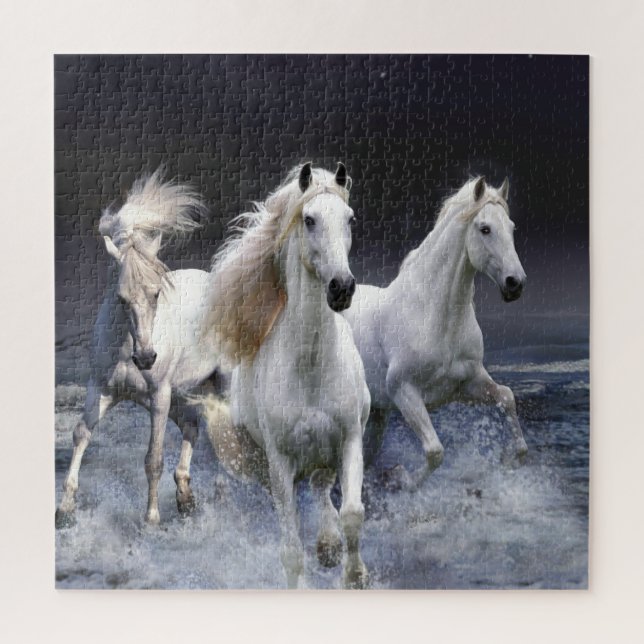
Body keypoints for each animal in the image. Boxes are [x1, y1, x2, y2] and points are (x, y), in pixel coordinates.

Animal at [56, 169, 221, 528]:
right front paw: (64, 509)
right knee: (192, 428)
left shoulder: (159, 397)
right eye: (121, 298)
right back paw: (185, 499)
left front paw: (151, 519)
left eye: (156, 293)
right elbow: (80, 434)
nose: (146, 358)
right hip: (182, 394)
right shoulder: (102, 389)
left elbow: (153, 458)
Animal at [202, 162, 371, 589]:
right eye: (308, 219)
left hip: (324, 454)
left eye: (350, 219)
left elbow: (352, 514)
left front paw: (355, 575)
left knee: (323, 489)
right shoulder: (280, 461)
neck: (310, 366)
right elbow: (291, 550)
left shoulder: (350, 439)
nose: (341, 288)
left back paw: (329, 547)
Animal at [342, 176, 528, 487]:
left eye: (512, 228)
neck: (435, 317)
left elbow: (506, 397)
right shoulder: (404, 391)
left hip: (376, 415)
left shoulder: (467, 384)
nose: (515, 283)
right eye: (485, 228)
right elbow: (435, 451)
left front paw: (511, 458)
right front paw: (401, 478)